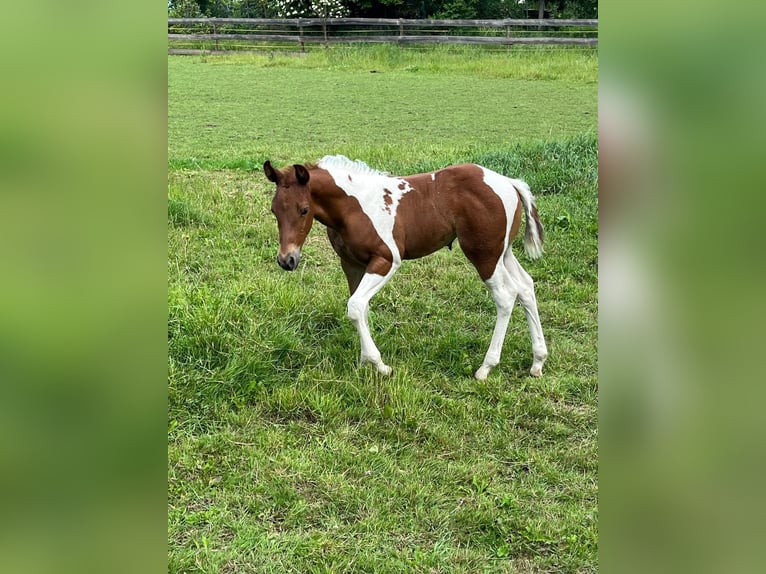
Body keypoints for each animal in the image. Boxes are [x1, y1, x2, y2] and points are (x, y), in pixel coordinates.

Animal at [263, 155, 548, 380]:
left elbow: (355, 306)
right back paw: (537, 362)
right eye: (274, 210)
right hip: (503, 252)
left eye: (304, 210)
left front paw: (379, 365)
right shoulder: (352, 264)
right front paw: (364, 361)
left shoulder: (387, 260)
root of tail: (509, 183)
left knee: (505, 296)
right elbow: (360, 308)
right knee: (525, 287)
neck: (353, 207)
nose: (286, 260)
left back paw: (485, 368)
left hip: (484, 255)